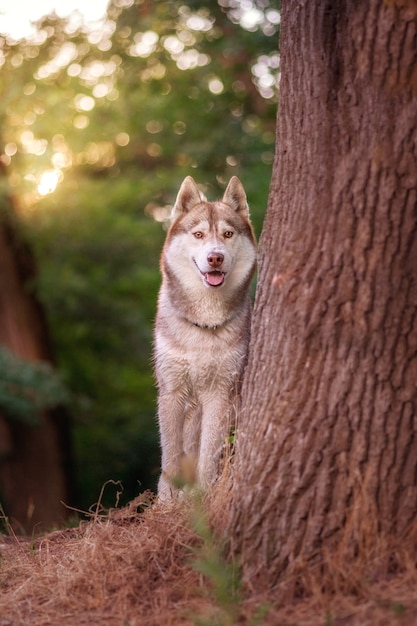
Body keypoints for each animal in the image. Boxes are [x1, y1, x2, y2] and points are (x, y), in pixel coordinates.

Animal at [154, 177, 255, 498]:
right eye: (198, 234)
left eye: (227, 233)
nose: (215, 257)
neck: (204, 324)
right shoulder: (171, 389)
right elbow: (171, 451)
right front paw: (168, 498)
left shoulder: (220, 393)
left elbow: (208, 453)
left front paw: (200, 494)